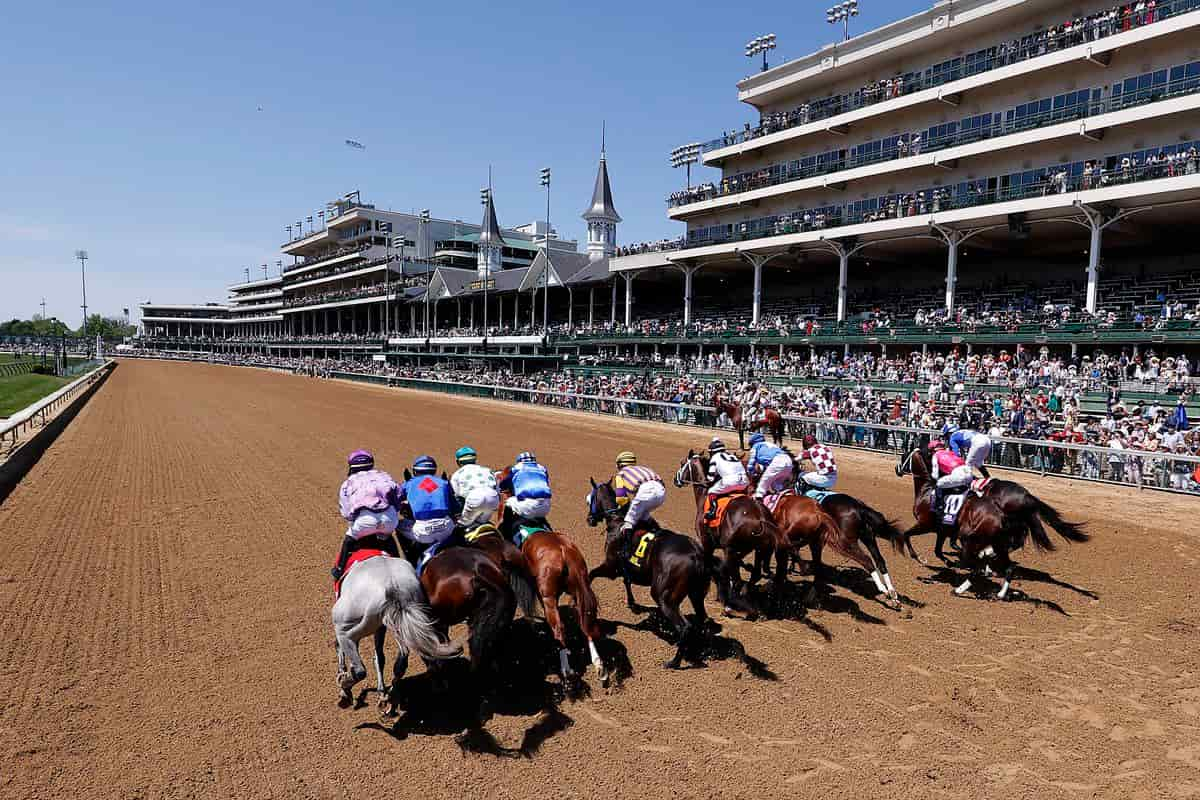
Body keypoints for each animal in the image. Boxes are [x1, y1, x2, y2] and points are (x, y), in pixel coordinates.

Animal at [583, 479, 705, 671]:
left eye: (590, 499)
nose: (590, 519)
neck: (617, 521)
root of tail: (695, 554)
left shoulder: (610, 567)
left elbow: (591, 574)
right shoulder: (626, 568)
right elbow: (626, 581)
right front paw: (632, 604)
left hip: (664, 596)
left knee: (684, 627)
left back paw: (674, 661)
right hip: (696, 594)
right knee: (700, 619)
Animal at [676, 450, 787, 618]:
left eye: (683, 463)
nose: (676, 480)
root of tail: (760, 517)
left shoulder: (707, 542)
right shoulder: (740, 550)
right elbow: (727, 568)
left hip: (730, 549)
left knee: (739, 580)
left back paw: (729, 607)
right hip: (760, 549)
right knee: (755, 574)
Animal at [897, 448, 1094, 597]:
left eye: (903, 455)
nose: (897, 469)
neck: (927, 489)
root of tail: (1027, 496)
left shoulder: (927, 525)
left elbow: (909, 536)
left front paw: (923, 558)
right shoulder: (943, 530)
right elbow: (939, 549)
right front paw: (950, 561)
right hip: (1013, 528)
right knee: (1011, 550)